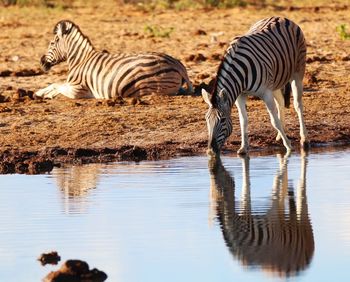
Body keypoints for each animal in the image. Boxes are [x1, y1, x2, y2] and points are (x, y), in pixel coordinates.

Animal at [35, 20, 193, 99]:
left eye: (52, 43)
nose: (41, 62)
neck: (80, 61)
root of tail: (177, 64)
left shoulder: (78, 90)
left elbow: (57, 85)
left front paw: (42, 94)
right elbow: (55, 85)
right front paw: (39, 94)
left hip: (148, 87)